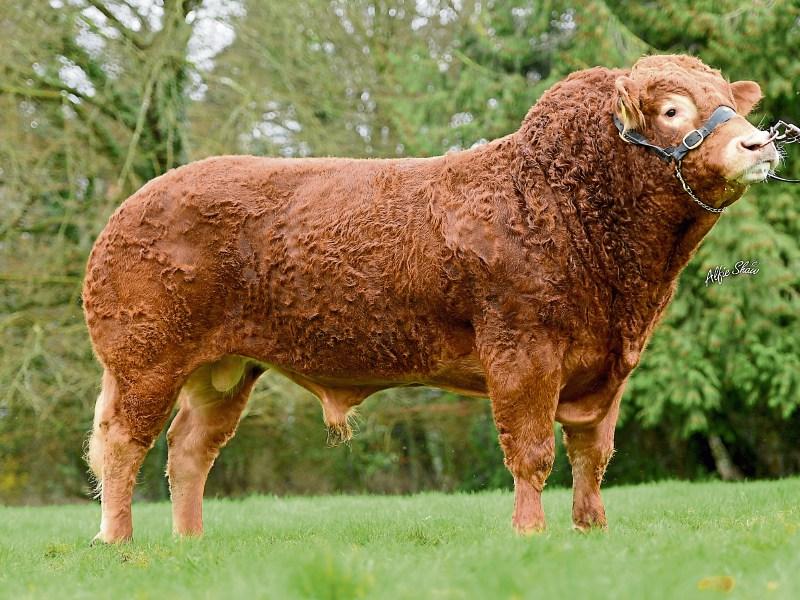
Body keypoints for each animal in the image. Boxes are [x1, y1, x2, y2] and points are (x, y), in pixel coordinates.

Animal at [83, 54, 779, 543]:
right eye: (673, 111)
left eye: (728, 102)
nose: (759, 143)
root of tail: (136, 202)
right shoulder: (522, 349)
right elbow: (531, 449)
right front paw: (531, 532)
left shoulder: (608, 366)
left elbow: (592, 454)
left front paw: (591, 528)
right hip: (145, 357)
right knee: (122, 443)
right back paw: (118, 541)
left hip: (223, 370)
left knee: (189, 449)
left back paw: (190, 540)